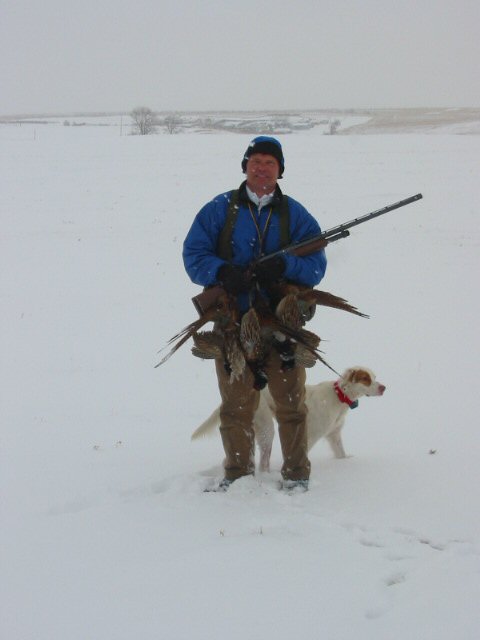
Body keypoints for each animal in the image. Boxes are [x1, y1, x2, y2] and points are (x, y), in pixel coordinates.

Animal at [191, 367, 386, 472]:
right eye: (366, 379)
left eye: (374, 377)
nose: (384, 387)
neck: (339, 396)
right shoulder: (310, 434)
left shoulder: (334, 434)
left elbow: (341, 453)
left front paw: (345, 462)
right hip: (267, 427)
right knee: (263, 461)